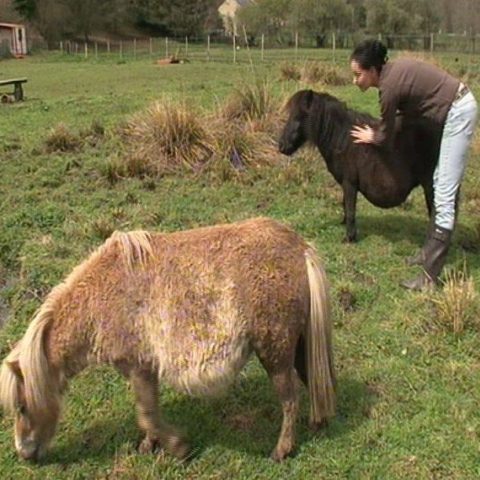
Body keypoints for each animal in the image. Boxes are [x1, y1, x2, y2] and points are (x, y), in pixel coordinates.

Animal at [0, 217, 334, 462]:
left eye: (22, 407)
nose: (25, 453)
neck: (103, 296)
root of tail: (300, 247)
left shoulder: (137, 366)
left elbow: (148, 415)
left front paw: (178, 447)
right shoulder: (142, 370)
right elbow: (148, 411)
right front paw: (151, 445)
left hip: (275, 351)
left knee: (289, 398)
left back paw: (282, 450)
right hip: (297, 343)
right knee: (312, 380)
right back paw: (319, 424)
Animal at [278, 88, 442, 242]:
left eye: (299, 116)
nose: (282, 146)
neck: (343, 139)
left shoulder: (349, 183)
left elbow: (351, 209)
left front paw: (350, 237)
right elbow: (345, 204)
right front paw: (344, 224)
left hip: (430, 186)